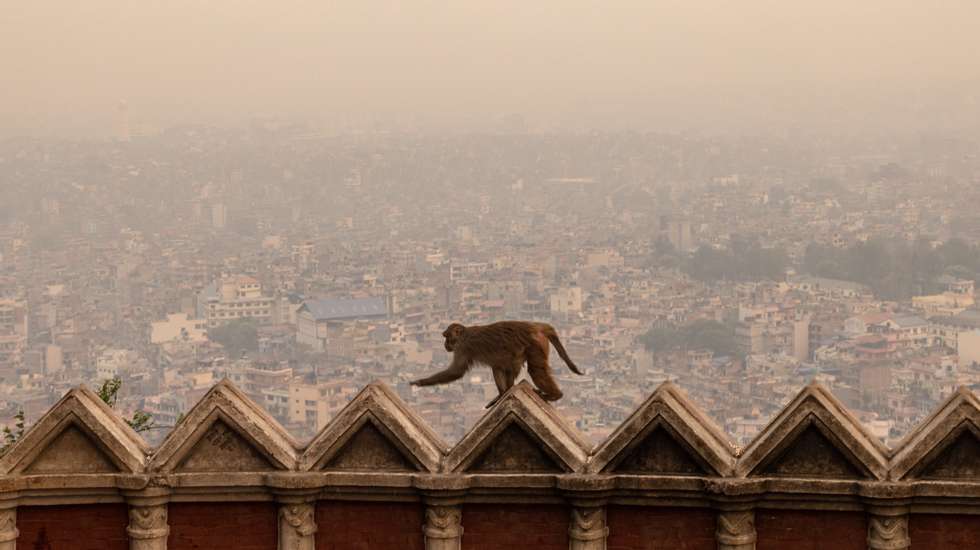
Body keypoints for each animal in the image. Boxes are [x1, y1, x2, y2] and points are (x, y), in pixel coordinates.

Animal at [408, 322, 580, 408]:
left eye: (446, 336)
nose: (444, 344)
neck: (464, 335)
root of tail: (536, 326)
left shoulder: (463, 347)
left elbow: (456, 371)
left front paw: (420, 382)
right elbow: (500, 366)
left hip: (536, 344)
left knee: (535, 370)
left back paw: (556, 395)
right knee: (500, 366)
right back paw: (503, 393)